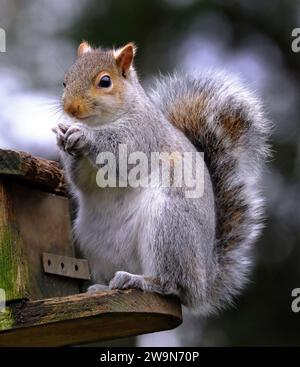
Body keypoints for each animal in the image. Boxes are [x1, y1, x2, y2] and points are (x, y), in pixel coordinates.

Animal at [52, 41, 270, 314]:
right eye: (64, 81)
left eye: (105, 81)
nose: (71, 109)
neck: (103, 121)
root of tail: (202, 282)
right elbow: (80, 180)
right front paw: (63, 134)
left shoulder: (143, 133)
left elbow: (122, 156)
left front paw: (84, 135)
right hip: (94, 241)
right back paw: (104, 286)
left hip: (169, 226)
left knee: (171, 284)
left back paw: (139, 280)